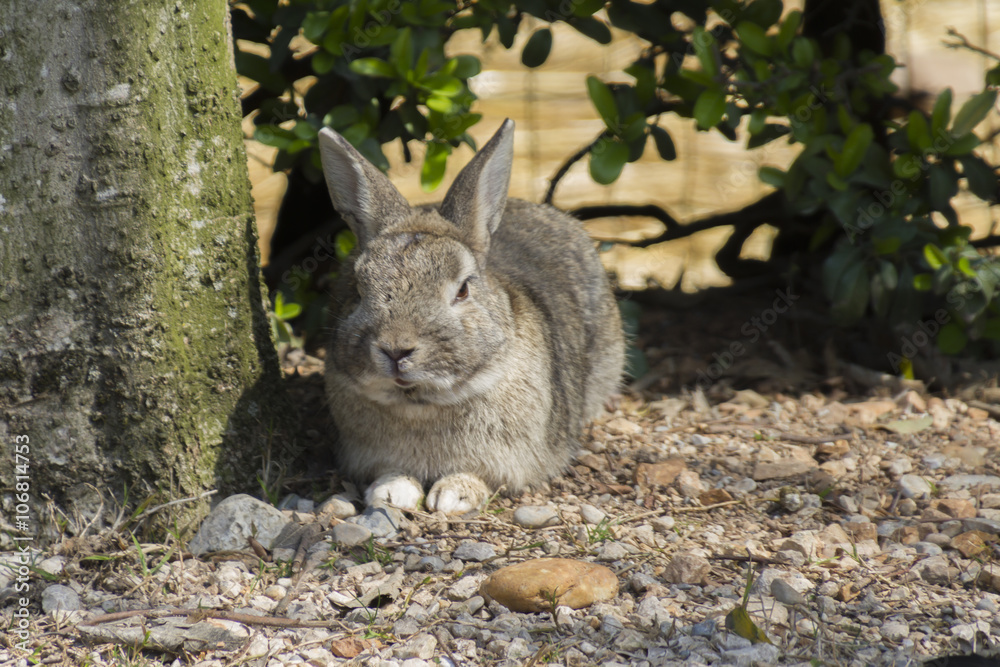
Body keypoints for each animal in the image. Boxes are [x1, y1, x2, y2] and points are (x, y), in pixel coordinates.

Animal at [318, 119, 624, 515]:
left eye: (463, 289)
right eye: (357, 286)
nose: (396, 350)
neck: (421, 402)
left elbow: (480, 476)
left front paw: (454, 495)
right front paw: (391, 492)